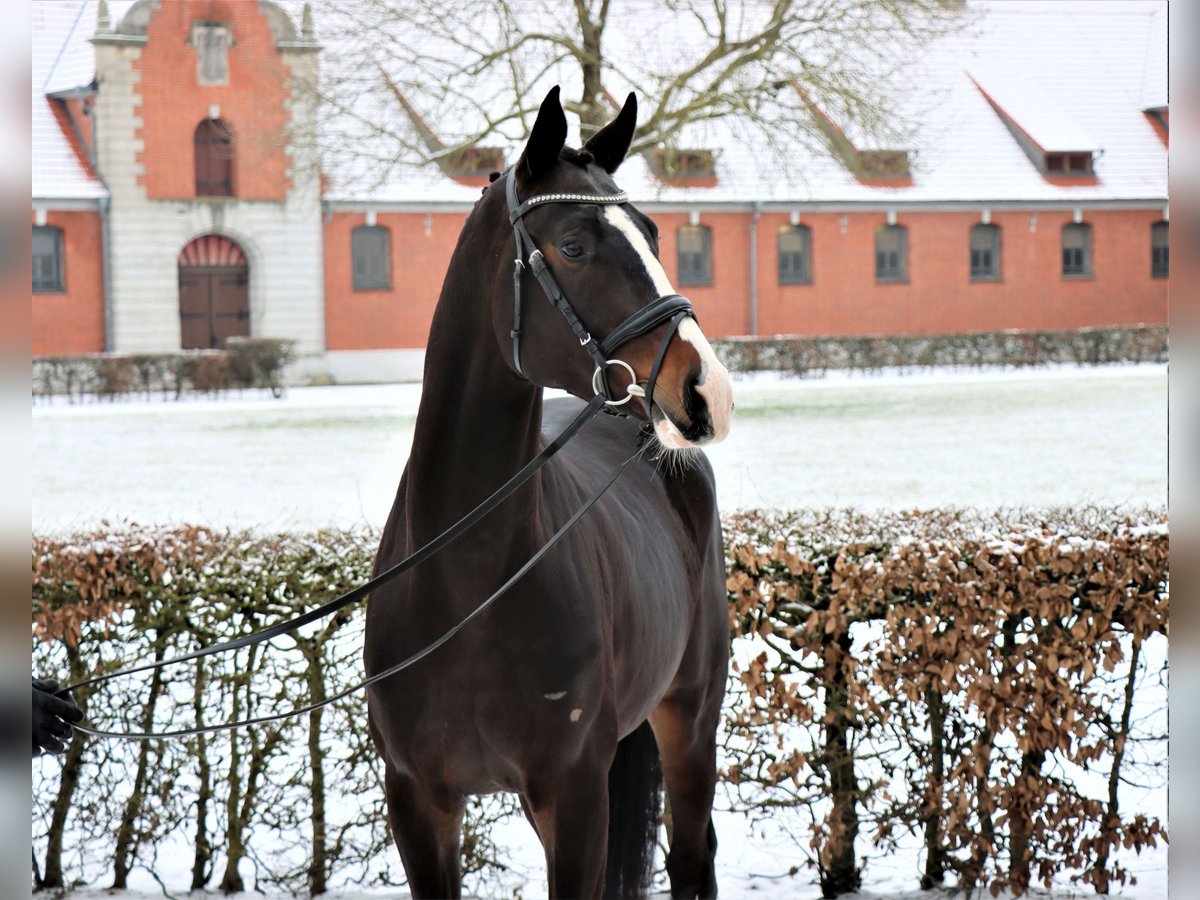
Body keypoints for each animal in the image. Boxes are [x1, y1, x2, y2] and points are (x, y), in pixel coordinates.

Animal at [360, 86, 729, 900]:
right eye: (574, 245)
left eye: (653, 232)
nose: (705, 390)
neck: (468, 584)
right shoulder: (419, 803)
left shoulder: (575, 792)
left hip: (689, 719)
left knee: (693, 855)